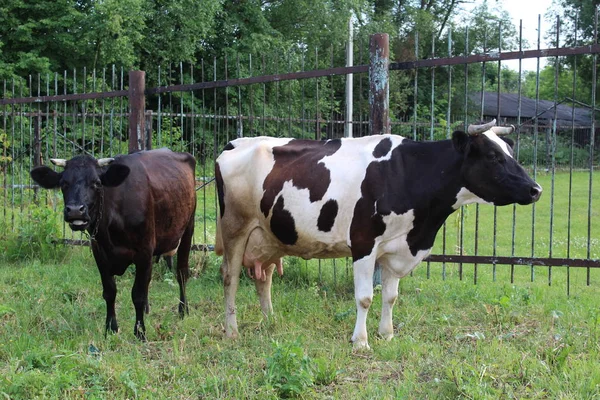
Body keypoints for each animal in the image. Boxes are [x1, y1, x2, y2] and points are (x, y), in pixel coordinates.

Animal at [30, 148, 196, 340]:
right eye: (64, 183)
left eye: (96, 183)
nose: (75, 211)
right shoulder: (100, 253)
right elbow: (110, 292)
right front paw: (110, 328)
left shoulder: (144, 252)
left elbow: (138, 294)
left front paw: (140, 332)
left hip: (188, 229)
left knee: (182, 274)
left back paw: (183, 310)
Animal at [214, 119, 540, 350]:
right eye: (493, 156)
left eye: (510, 152)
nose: (535, 189)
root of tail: (235, 143)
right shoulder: (363, 243)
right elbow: (365, 297)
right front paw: (360, 341)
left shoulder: (396, 248)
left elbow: (391, 296)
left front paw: (387, 334)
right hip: (235, 228)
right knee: (230, 278)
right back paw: (232, 331)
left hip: (268, 235)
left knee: (264, 277)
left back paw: (270, 320)